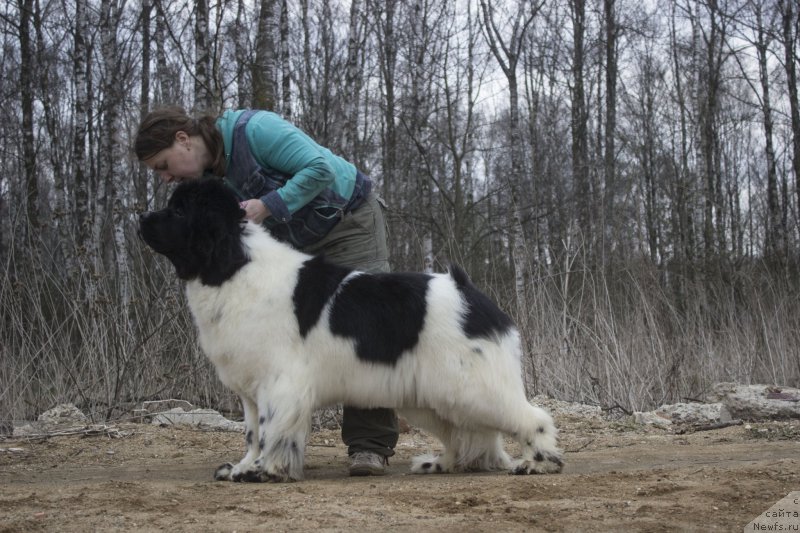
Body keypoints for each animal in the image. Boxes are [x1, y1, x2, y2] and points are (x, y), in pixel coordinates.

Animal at [138, 177, 564, 480]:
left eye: (178, 211)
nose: (141, 218)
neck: (232, 264)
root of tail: (469, 292)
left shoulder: (280, 383)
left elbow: (272, 428)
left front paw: (264, 471)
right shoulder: (250, 389)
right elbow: (252, 432)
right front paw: (243, 466)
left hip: (472, 387)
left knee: (532, 417)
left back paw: (537, 463)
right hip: (433, 397)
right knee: (465, 435)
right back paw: (441, 463)